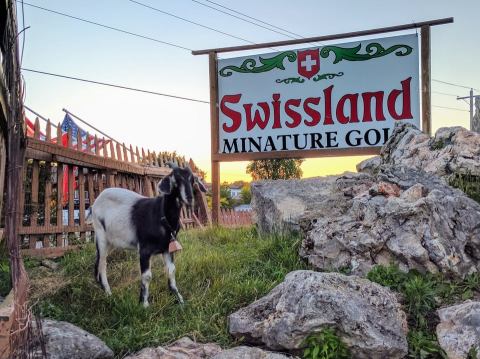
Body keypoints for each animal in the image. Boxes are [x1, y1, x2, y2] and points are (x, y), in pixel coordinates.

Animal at [87, 165, 205, 308]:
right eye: (175, 180)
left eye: (192, 180)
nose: (189, 198)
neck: (161, 214)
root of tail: (94, 204)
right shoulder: (144, 250)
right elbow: (147, 276)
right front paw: (143, 304)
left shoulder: (167, 248)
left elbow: (171, 271)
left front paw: (179, 300)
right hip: (100, 235)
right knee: (102, 263)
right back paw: (108, 293)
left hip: (111, 241)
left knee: (99, 263)